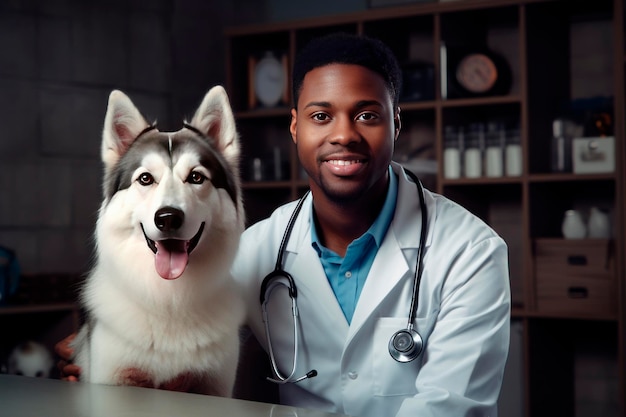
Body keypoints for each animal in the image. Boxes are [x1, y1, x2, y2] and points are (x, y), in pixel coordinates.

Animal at [69, 85, 243, 396]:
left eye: (196, 177)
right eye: (146, 179)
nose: (168, 218)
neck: (168, 299)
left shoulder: (212, 384)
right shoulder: (117, 376)